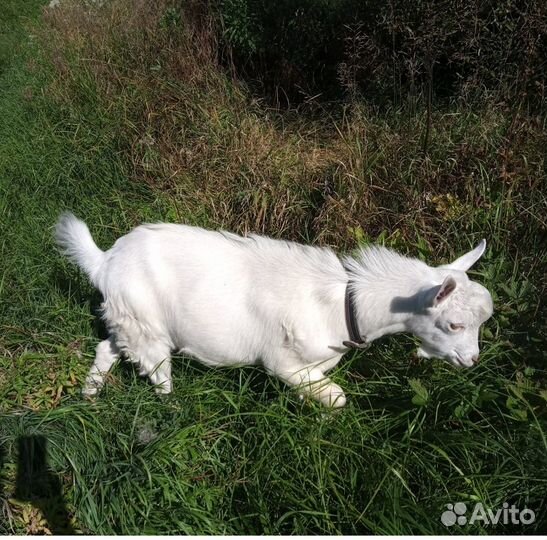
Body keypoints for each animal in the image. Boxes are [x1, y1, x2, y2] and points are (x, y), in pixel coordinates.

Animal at [56, 213, 496, 408]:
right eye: (454, 324)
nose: (472, 360)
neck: (345, 304)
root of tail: (105, 262)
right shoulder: (283, 361)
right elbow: (337, 398)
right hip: (148, 328)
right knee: (156, 370)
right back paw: (170, 407)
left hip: (130, 320)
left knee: (107, 347)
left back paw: (89, 393)